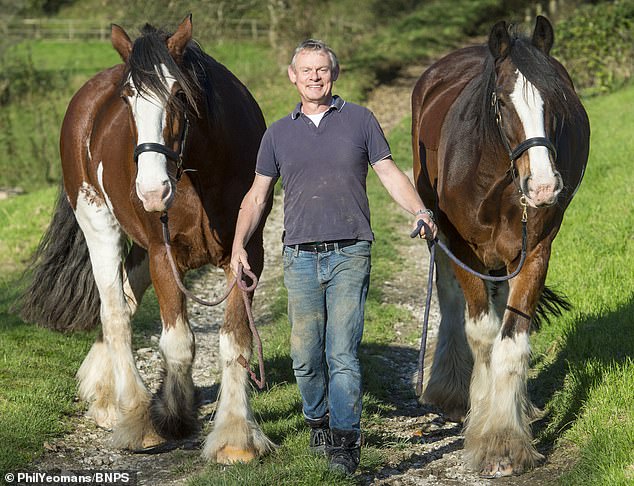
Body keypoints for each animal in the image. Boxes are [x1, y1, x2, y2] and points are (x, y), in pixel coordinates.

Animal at [19, 15, 272, 464]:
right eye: (128, 100)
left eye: (180, 95)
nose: (152, 191)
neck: (201, 171)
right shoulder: (161, 256)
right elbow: (178, 343)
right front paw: (172, 415)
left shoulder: (248, 256)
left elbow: (235, 343)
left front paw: (235, 437)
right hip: (100, 227)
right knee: (115, 313)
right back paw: (135, 416)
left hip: (134, 248)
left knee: (126, 299)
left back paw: (104, 396)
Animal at [410, 16, 588, 478]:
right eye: (504, 105)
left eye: (556, 100)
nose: (543, 186)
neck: (494, 172)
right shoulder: (462, 246)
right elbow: (483, 334)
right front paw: (485, 427)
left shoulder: (536, 249)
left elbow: (511, 341)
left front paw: (505, 442)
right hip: (438, 234)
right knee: (450, 298)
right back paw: (453, 389)